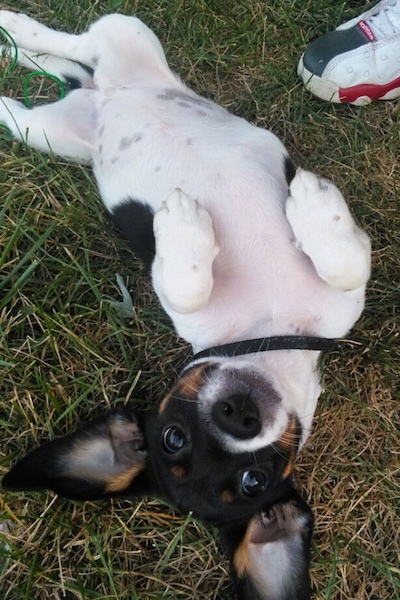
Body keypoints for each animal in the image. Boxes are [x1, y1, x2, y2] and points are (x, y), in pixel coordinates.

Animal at [0, 10, 370, 600]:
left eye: (254, 479)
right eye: (173, 437)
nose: (239, 416)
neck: (268, 329)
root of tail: (104, 98)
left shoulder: (344, 301)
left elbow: (346, 264)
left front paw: (313, 208)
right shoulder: (183, 303)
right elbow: (185, 285)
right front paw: (181, 225)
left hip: (90, 88)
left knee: (55, 72)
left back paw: (19, 48)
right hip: (90, 79)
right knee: (53, 67)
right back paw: (17, 35)